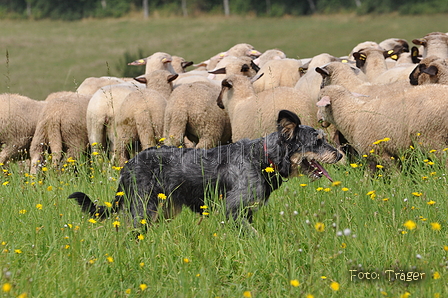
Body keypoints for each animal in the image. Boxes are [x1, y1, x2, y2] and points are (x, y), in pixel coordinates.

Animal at [69, 110, 344, 229]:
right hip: (143, 208)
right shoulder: (233, 209)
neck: (263, 157)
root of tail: (127, 166)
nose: (340, 154)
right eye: (318, 141)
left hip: (163, 209)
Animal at [316, 83, 448, 163]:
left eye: (319, 101)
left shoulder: (382, 153)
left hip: (433, 138)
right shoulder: (371, 159)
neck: (352, 115)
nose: (318, 118)